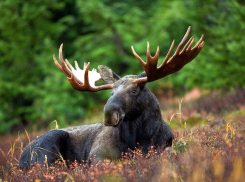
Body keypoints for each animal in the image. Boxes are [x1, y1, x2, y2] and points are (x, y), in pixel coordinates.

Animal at [19, 26, 204, 169]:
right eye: (111, 93)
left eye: (133, 90)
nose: (109, 114)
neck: (140, 138)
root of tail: (20, 160)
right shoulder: (97, 154)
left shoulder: (165, 145)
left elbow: (168, 152)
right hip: (48, 147)